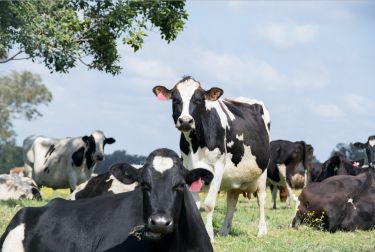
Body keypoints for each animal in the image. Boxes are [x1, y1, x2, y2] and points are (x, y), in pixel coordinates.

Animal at [154, 76, 272, 240]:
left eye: (199, 100)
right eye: (176, 100)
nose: (185, 121)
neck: (196, 144)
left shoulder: (218, 166)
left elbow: (209, 204)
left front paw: (209, 234)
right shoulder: (189, 169)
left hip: (263, 172)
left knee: (261, 198)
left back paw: (261, 230)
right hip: (235, 177)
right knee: (232, 200)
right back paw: (224, 230)